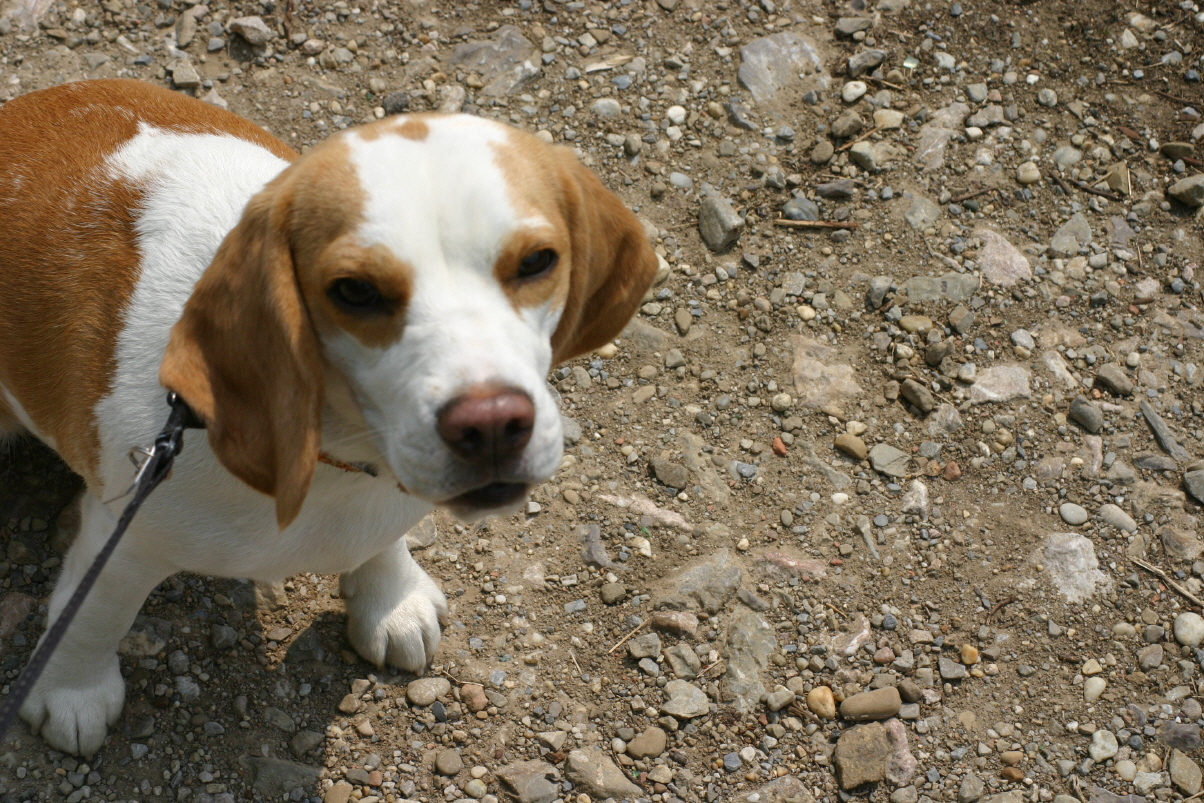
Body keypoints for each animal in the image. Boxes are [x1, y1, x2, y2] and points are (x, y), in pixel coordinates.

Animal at [0, 79, 656, 756]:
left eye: (536, 261)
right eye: (355, 291)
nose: (493, 423)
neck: (331, 457)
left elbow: (383, 542)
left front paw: (390, 598)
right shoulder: (124, 541)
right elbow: (92, 617)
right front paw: (71, 692)